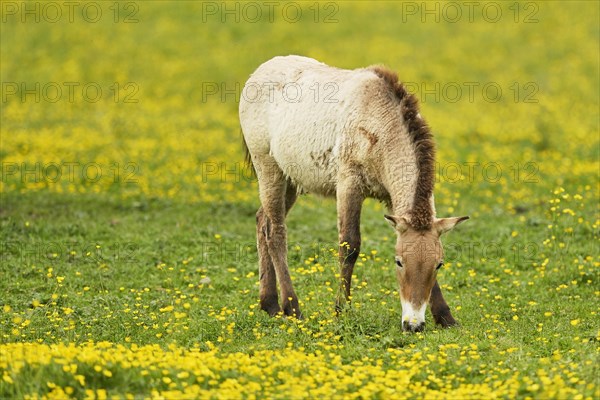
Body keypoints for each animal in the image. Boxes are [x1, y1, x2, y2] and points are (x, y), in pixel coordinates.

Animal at [239, 55, 468, 332]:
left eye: (439, 264)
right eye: (398, 262)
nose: (413, 325)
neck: (380, 124)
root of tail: (258, 72)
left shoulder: (392, 198)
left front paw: (445, 317)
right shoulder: (349, 184)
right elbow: (349, 245)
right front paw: (341, 311)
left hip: (290, 178)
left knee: (262, 220)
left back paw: (269, 304)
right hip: (268, 167)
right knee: (275, 232)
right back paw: (292, 308)